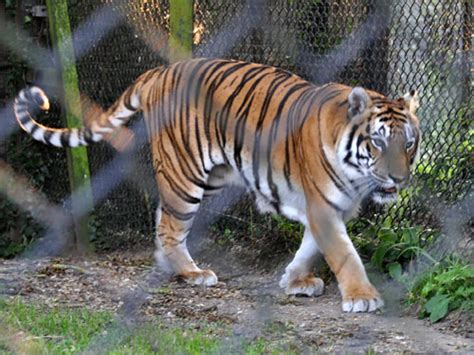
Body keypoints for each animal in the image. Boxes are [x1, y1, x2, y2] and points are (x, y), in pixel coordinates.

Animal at [12, 58, 418, 314]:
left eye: (409, 143)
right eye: (378, 142)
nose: (399, 178)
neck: (357, 177)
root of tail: (160, 71)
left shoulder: (335, 208)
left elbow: (311, 247)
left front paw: (294, 279)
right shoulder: (323, 206)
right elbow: (343, 254)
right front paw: (362, 296)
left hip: (208, 176)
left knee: (162, 219)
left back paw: (173, 267)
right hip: (185, 175)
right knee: (171, 225)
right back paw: (192, 273)